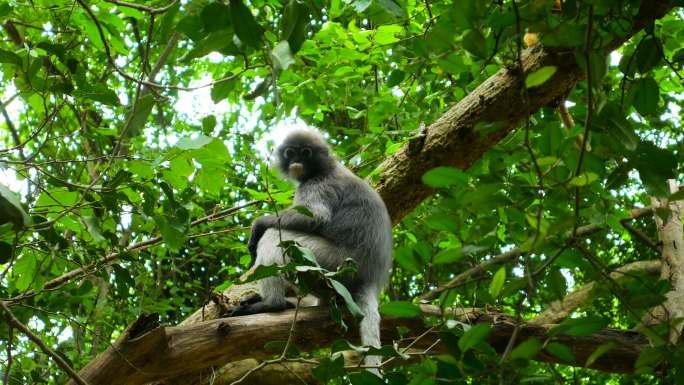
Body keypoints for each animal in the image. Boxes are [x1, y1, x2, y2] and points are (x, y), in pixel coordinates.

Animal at [231, 128, 392, 372]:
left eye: (306, 152)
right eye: (290, 152)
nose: (297, 161)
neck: (324, 168)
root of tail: (370, 278)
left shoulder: (319, 184)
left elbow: (316, 217)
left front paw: (259, 224)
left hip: (330, 264)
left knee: (273, 237)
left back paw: (273, 304)